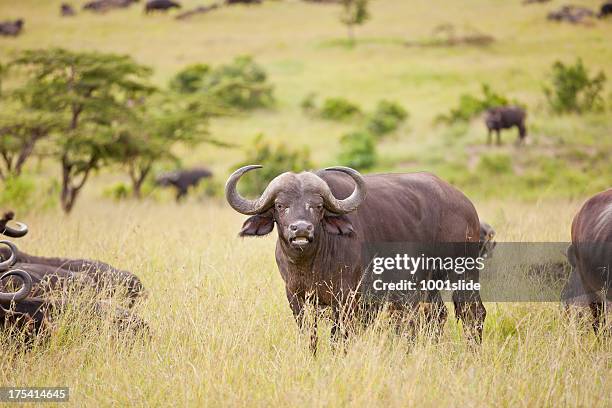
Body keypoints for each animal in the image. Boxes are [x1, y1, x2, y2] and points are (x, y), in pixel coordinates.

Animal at [226, 164, 488, 352]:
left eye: (317, 206)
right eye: (281, 205)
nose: (301, 229)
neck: (312, 264)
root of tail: (465, 205)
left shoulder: (347, 299)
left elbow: (338, 336)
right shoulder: (295, 297)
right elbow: (309, 334)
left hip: (462, 272)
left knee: (472, 313)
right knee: (436, 315)